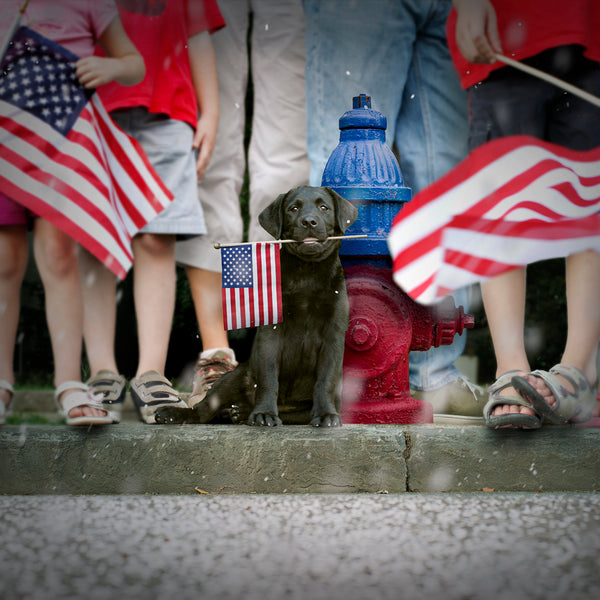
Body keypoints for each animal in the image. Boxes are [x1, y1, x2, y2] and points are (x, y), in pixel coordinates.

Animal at [157, 188, 358, 426]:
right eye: (293, 208)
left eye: (324, 207)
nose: (309, 221)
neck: (306, 274)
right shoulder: (271, 332)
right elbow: (268, 378)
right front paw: (265, 413)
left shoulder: (332, 336)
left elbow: (325, 380)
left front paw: (327, 415)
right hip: (231, 377)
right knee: (204, 409)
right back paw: (177, 413)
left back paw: (242, 413)